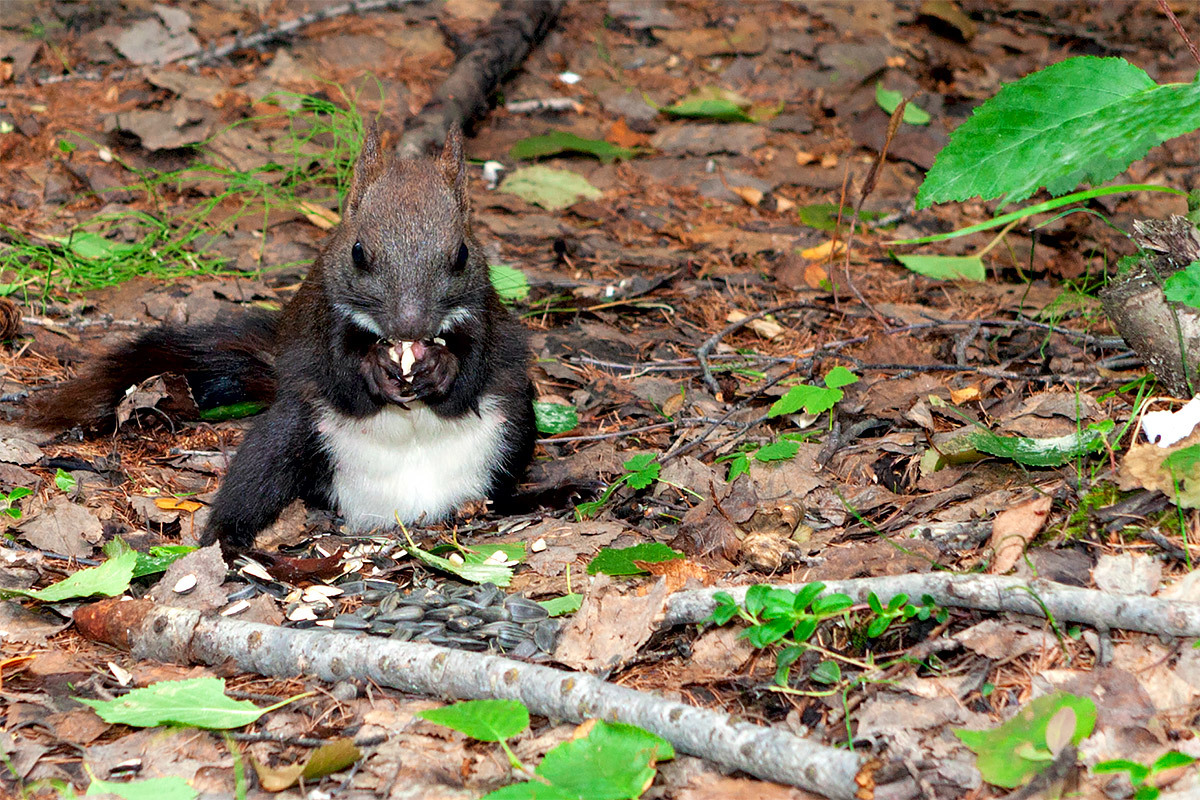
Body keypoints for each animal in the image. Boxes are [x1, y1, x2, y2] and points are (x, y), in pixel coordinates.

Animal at [28, 125, 537, 556]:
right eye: (358, 252)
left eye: (462, 254)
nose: (410, 327)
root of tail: (401, 508)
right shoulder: (321, 321)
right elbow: (341, 374)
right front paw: (372, 371)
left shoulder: (484, 316)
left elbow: (474, 368)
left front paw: (442, 369)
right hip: (290, 432)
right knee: (254, 481)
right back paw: (227, 540)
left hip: (514, 422)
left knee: (503, 476)